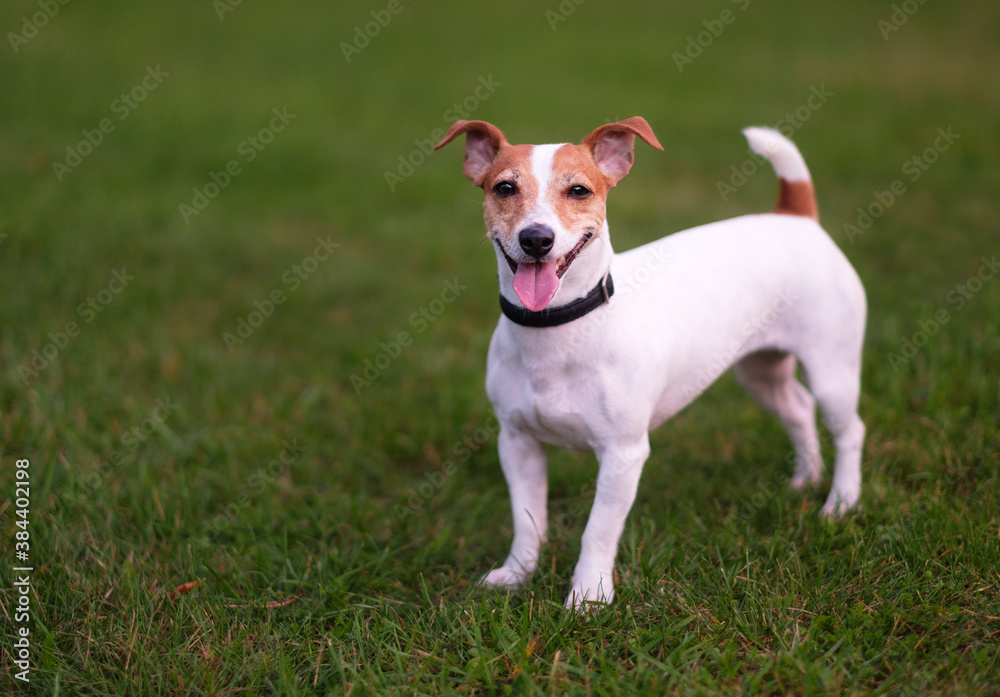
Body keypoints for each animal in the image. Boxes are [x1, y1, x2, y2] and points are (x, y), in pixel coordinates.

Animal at [434, 117, 864, 608]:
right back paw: (805, 480)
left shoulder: (623, 455)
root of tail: (794, 215)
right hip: (759, 371)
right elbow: (528, 521)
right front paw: (517, 573)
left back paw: (841, 503)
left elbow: (598, 531)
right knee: (797, 407)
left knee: (850, 430)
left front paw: (588, 596)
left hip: (832, 371)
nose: (536, 238)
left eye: (579, 191)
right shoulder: (518, 442)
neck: (556, 327)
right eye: (505, 187)